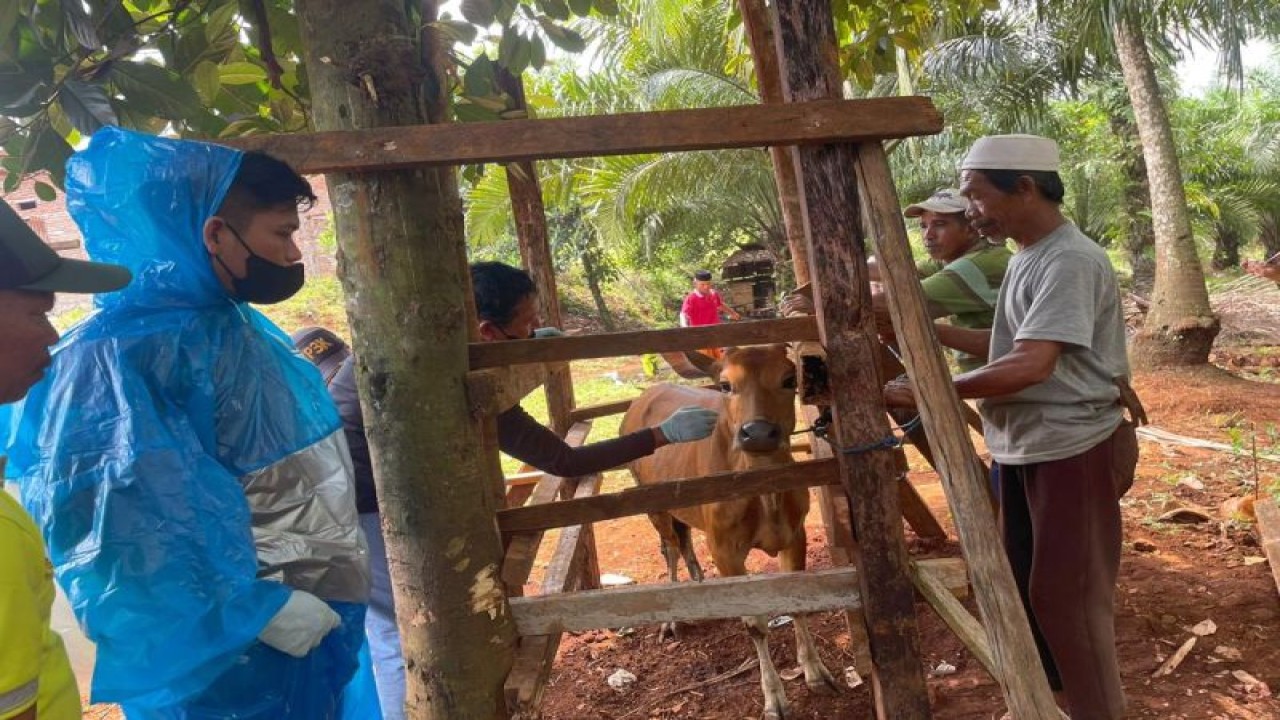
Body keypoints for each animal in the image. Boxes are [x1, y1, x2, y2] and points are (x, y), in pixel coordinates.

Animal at [619, 345, 839, 712]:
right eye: (725, 385)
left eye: (789, 379)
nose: (758, 432)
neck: (764, 493)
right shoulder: (724, 549)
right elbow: (755, 624)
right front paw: (774, 696)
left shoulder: (796, 534)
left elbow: (797, 603)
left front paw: (816, 672)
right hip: (654, 506)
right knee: (670, 548)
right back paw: (671, 619)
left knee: (685, 542)